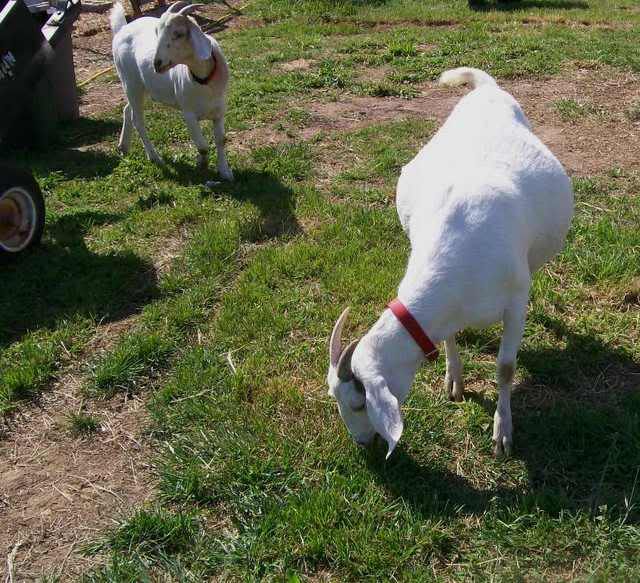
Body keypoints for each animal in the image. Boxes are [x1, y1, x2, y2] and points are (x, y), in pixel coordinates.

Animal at [110, 1, 233, 180]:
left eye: (178, 34)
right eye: (157, 32)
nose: (157, 64)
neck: (204, 80)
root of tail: (122, 29)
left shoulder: (219, 110)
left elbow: (221, 140)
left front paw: (225, 171)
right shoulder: (188, 114)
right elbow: (202, 146)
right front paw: (201, 163)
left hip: (140, 87)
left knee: (127, 109)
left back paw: (123, 146)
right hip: (130, 82)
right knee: (137, 120)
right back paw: (154, 157)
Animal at [327, 67, 573, 459]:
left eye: (357, 403)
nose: (362, 443)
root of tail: (485, 89)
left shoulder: (515, 301)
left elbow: (505, 368)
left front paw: (502, 433)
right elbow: (449, 339)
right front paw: (453, 381)